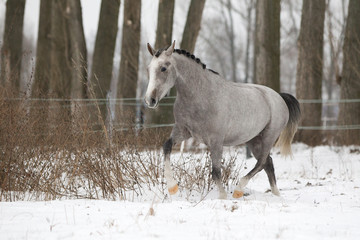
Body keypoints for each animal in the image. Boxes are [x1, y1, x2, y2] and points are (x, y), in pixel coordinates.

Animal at [145, 41, 300, 199]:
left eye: (163, 68)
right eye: (148, 68)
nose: (150, 100)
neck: (200, 96)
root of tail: (279, 96)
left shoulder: (216, 141)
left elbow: (215, 172)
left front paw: (222, 196)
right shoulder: (183, 131)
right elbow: (166, 147)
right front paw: (172, 188)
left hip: (269, 137)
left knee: (262, 162)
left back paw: (238, 190)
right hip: (254, 140)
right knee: (268, 163)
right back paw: (276, 195)